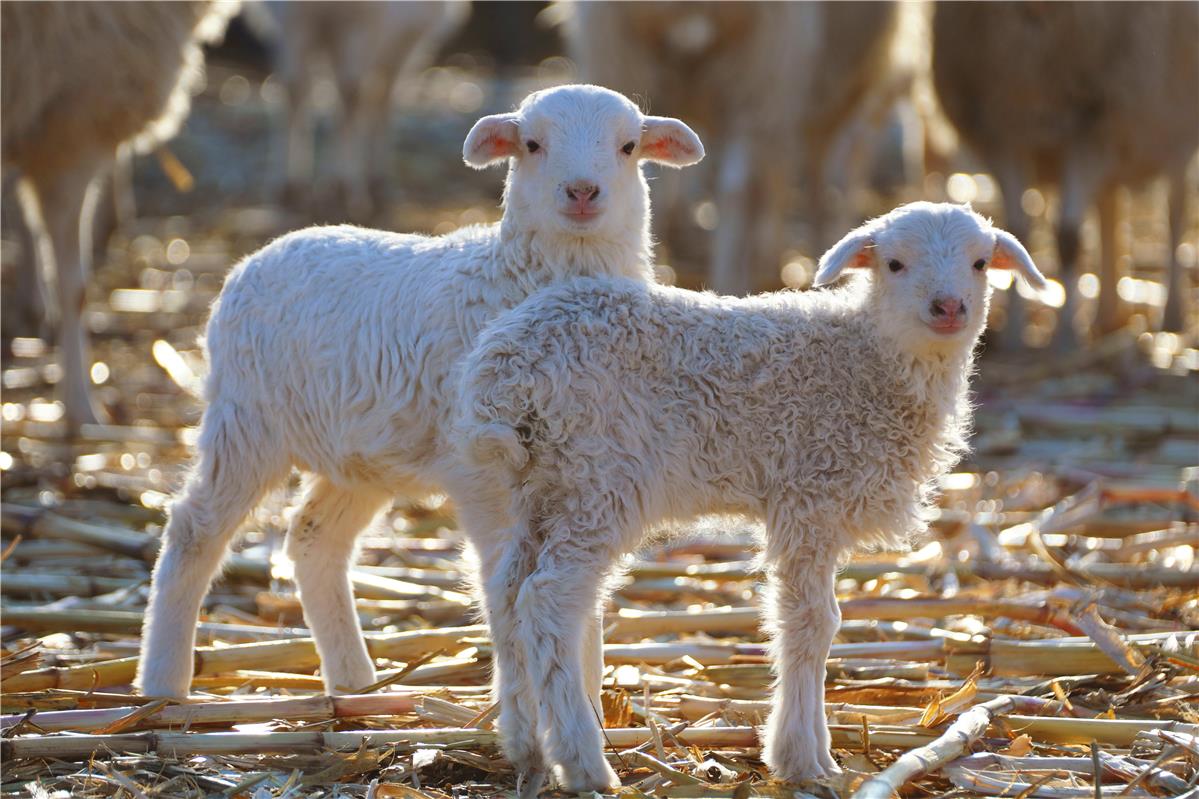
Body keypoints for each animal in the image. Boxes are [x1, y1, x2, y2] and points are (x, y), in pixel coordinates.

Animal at [133, 84, 705, 700]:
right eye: (531, 144)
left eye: (628, 146)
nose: (581, 192)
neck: (516, 277)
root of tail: (258, 255)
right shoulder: (481, 473)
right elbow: (506, 577)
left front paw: (588, 695)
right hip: (245, 417)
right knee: (194, 528)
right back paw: (162, 682)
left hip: (354, 455)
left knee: (314, 540)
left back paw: (353, 683)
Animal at [258, 0, 470, 219]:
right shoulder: (292, 18)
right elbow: (294, 91)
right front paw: (289, 189)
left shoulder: (365, 22)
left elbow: (351, 95)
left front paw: (345, 189)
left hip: (401, 40)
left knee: (380, 97)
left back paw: (376, 181)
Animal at [457, 202, 1046, 791]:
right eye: (895, 263)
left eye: (979, 263)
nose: (948, 307)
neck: (867, 353)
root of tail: (506, 370)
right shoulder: (810, 493)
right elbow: (811, 623)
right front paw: (803, 759)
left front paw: (814, 755)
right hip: (598, 478)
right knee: (549, 598)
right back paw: (582, 760)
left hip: (539, 485)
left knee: (506, 588)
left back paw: (526, 745)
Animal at [932, 2, 1199, 348]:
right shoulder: (1004, 132)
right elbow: (1017, 230)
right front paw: (1015, 338)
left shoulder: (1091, 125)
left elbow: (1069, 238)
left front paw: (1066, 338)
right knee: (1108, 205)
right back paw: (1106, 316)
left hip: (1173, 128)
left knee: (1175, 212)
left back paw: (1172, 316)